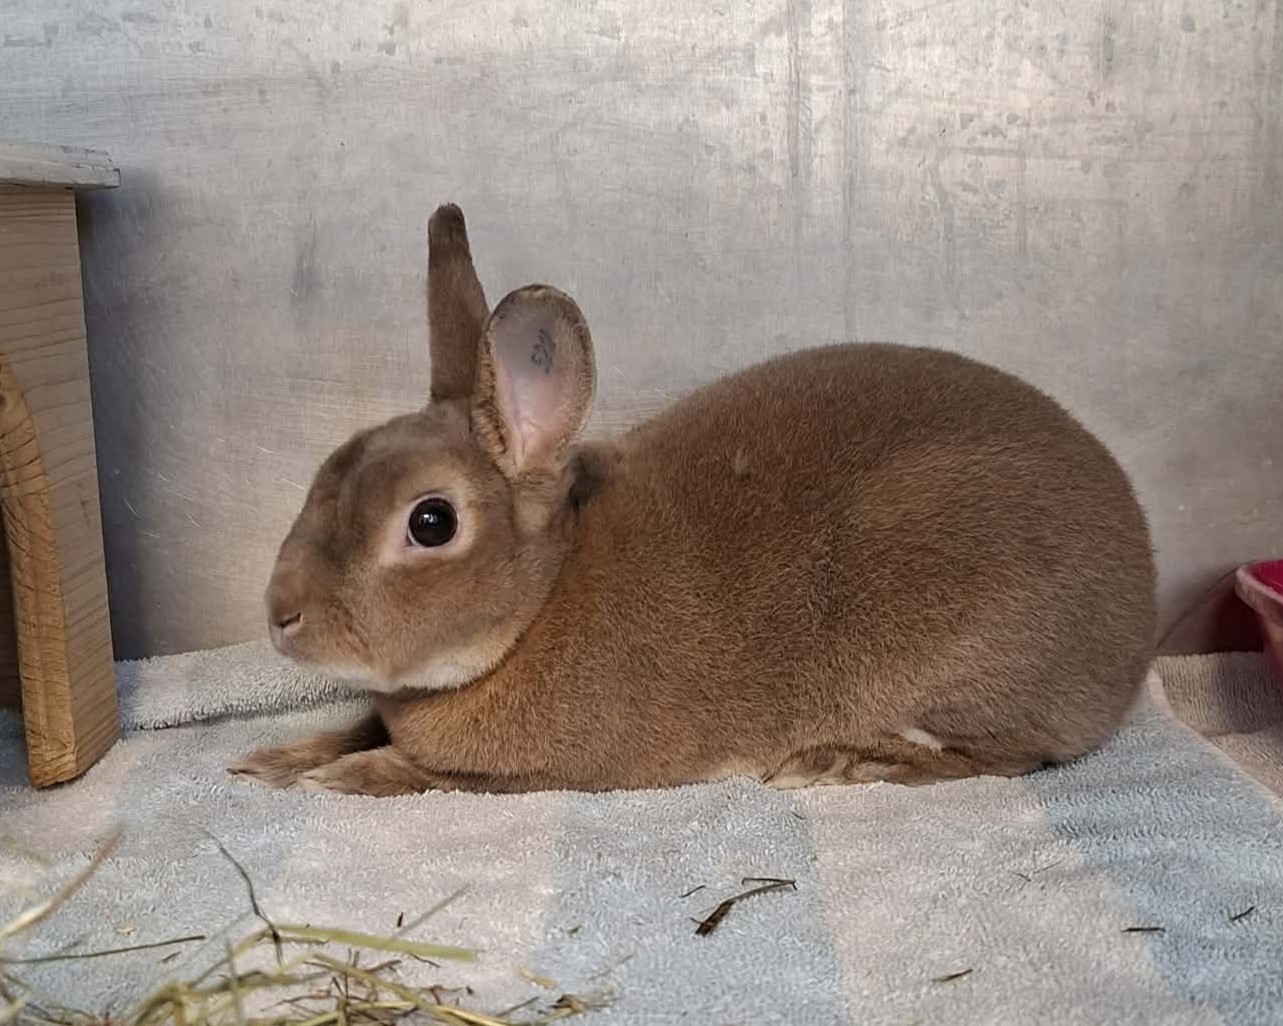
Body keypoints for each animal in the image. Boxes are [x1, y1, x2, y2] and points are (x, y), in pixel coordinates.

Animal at [230, 203, 1156, 797]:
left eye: (430, 522)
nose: (281, 618)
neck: (537, 605)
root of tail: (1138, 608)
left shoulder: (546, 772)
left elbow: (420, 773)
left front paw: (340, 776)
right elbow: (360, 723)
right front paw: (277, 758)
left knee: (1006, 757)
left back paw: (840, 764)